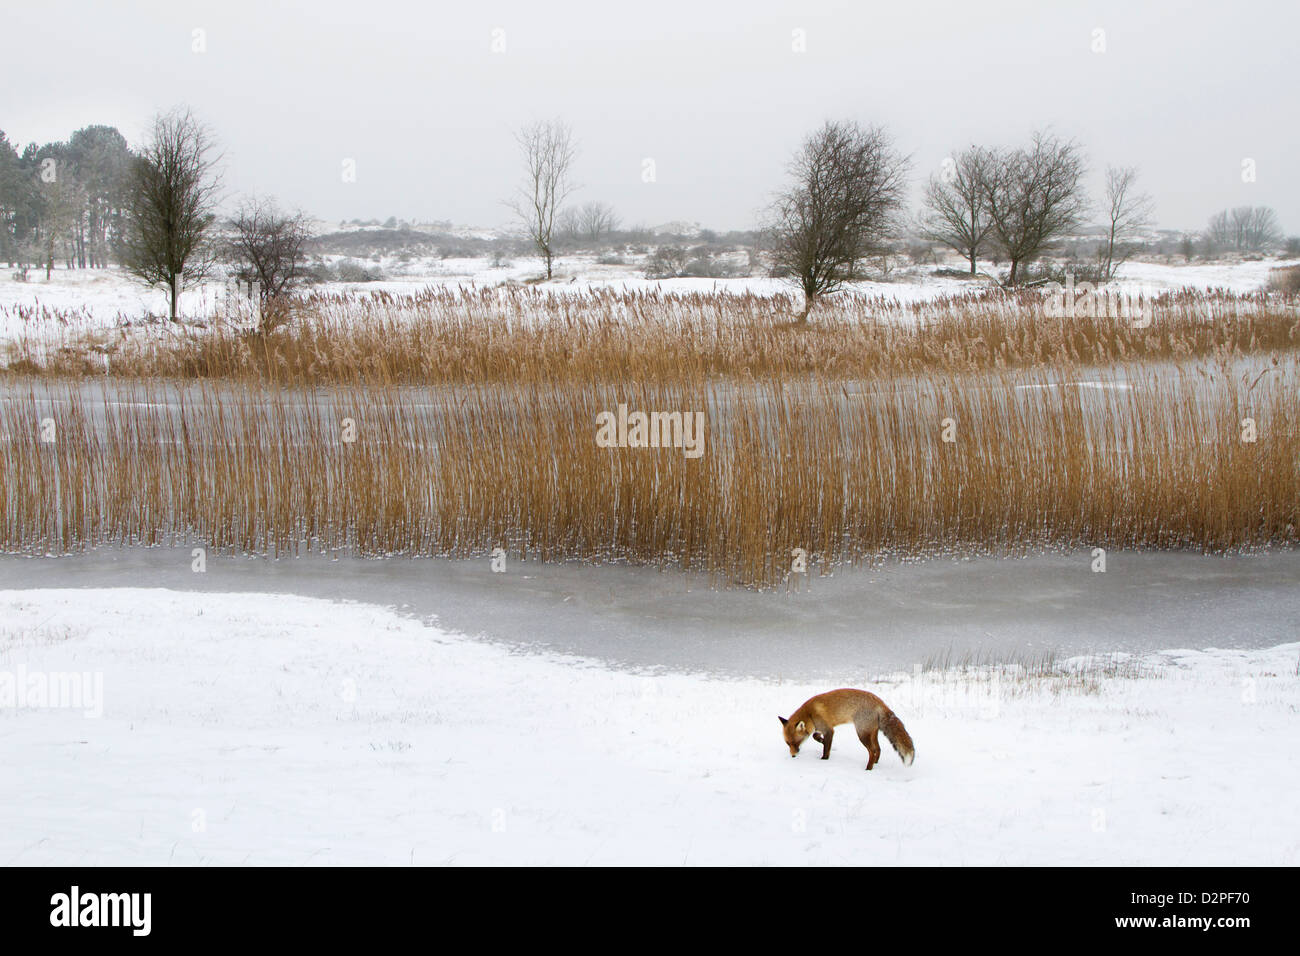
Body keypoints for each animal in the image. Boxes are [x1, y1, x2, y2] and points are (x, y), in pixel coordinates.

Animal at [780, 686, 915, 770]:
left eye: (795, 743)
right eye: (788, 743)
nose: (793, 756)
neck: (810, 714)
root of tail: (879, 702)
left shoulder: (829, 730)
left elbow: (826, 749)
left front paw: (824, 760)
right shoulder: (822, 728)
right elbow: (815, 736)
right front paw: (821, 740)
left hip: (862, 734)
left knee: (872, 751)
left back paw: (868, 769)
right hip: (872, 733)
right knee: (878, 749)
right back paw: (876, 763)